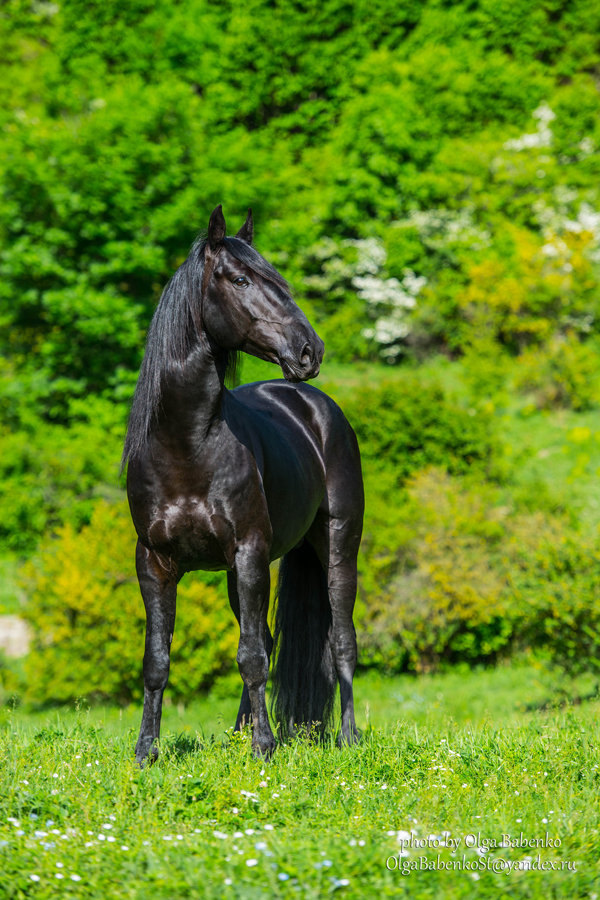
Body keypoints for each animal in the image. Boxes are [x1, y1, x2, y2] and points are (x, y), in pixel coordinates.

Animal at [122, 207, 364, 764]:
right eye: (239, 280)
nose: (309, 350)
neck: (187, 446)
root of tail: (316, 407)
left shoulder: (250, 552)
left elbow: (251, 656)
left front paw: (264, 748)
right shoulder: (154, 562)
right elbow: (157, 660)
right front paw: (146, 752)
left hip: (337, 549)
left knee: (340, 641)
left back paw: (347, 737)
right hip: (241, 571)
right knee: (269, 638)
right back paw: (240, 731)